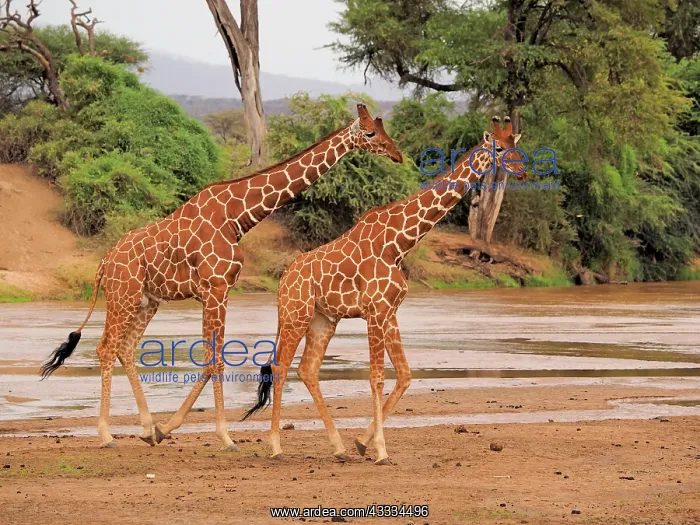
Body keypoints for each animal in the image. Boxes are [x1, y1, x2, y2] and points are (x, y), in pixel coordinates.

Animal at [40, 103, 404, 450]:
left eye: (384, 129)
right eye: (370, 133)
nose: (397, 154)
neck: (236, 216)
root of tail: (105, 261)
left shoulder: (220, 290)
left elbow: (212, 359)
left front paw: (165, 429)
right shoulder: (216, 288)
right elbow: (214, 360)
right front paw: (225, 437)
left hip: (146, 301)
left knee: (125, 349)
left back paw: (145, 428)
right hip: (122, 295)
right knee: (106, 347)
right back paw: (105, 434)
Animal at [243, 116, 525, 464]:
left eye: (516, 147)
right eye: (499, 149)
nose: (522, 171)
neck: (400, 242)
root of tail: (283, 279)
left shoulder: (390, 311)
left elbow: (404, 374)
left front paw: (362, 443)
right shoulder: (375, 311)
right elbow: (376, 377)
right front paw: (380, 450)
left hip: (323, 320)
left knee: (308, 370)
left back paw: (338, 447)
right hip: (296, 314)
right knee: (280, 368)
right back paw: (275, 446)